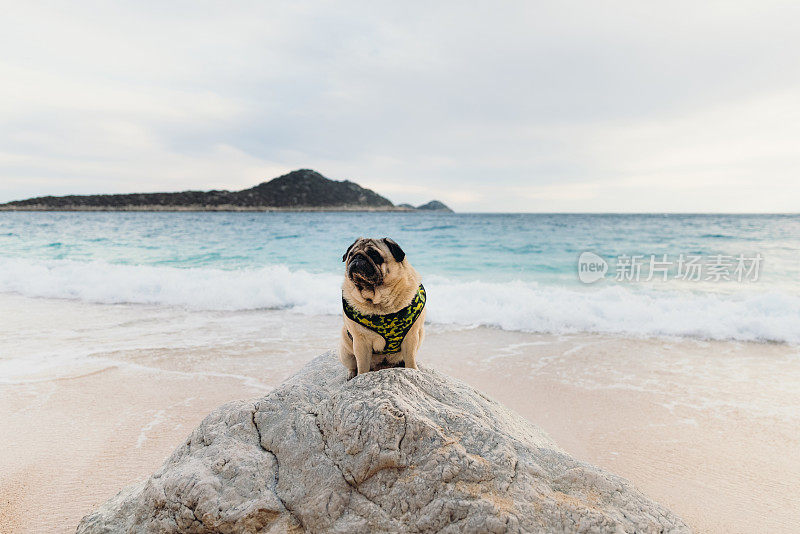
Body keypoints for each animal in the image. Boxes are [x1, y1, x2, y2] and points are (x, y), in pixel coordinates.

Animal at [338, 239, 424, 382]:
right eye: (351, 255)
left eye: (374, 255)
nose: (358, 257)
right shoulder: (361, 342)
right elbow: (362, 366)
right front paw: (361, 377)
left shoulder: (411, 337)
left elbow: (410, 360)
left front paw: (413, 371)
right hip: (345, 351)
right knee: (353, 365)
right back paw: (351, 375)